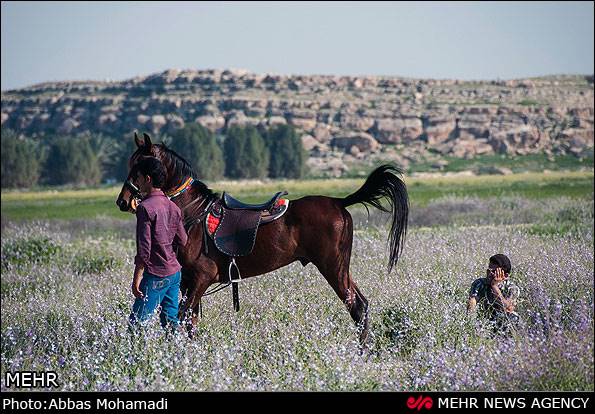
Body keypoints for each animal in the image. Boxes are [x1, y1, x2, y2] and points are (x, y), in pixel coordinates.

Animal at [118, 133, 410, 342]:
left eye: (139, 166)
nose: (122, 201)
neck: (193, 214)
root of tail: (340, 202)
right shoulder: (187, 282)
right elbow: (187, 321)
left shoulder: (201, 278)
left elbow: (185, 317)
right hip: (340, 268)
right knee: (361, 304)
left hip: (333, 266)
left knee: (356, 306)